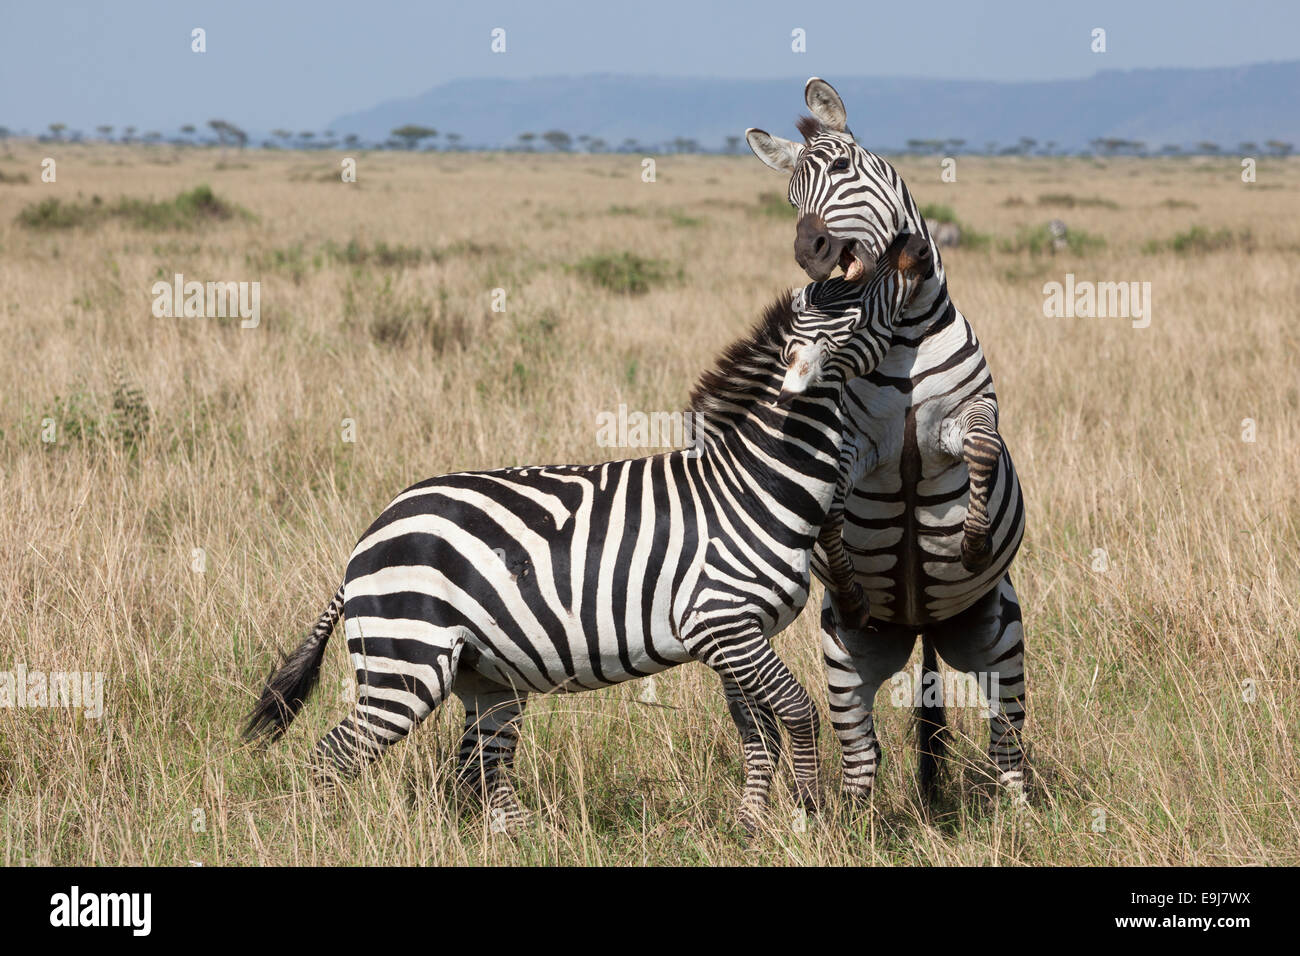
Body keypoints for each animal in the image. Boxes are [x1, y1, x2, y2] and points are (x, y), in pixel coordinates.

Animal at [245, 231, 935, 832]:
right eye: (861, 299)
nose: (913, 247)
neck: (757, 483)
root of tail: (368, 538)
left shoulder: (737, 636)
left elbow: (756, 729)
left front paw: (751, 825)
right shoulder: (724, 622)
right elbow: (795, 712)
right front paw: (803, 816)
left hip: (484, 674)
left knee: (480, 765)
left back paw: (523, 839)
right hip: (406, 663)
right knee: (337, 755)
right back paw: (329, 831)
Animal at [748, 78, 1029, 806]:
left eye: (846, 166)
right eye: (789, 195)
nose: (811, 249)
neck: (897, 336)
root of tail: (921, 626)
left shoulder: (971, 412)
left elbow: (982, 450)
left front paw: (972, 541)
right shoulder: (853, 443)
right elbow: (830, 507)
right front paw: (847, 578)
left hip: (1002, 640)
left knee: (1008, 740)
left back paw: (1021, 818)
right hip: (846, 661)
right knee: (860, 755)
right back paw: (855, 820)